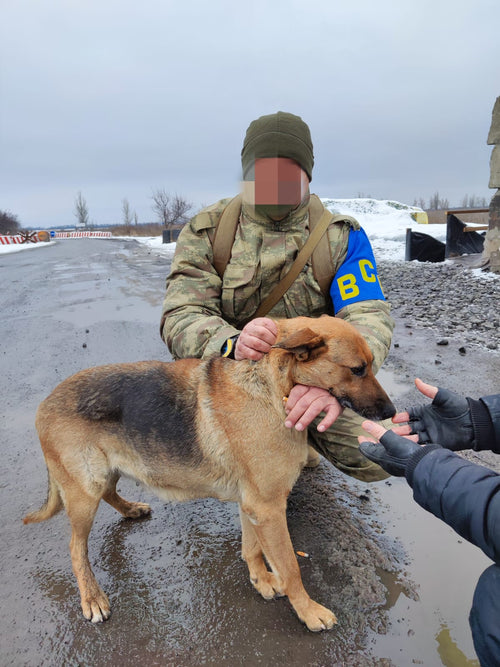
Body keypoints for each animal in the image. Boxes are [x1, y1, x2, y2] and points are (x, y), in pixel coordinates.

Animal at [23, 315, 395, 631]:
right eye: (357, 369)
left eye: (369, 365)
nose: (391, 412)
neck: (274, 386)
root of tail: (45, 404)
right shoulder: (269, 508)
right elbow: (290, 566)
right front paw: (308, 611)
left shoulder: (255, 506)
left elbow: (252, 547)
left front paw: (261, 579)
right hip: (85, 491)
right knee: (76, 548)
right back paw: (92, 598)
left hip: (105, 473)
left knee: (111, 493)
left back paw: (130, 509)